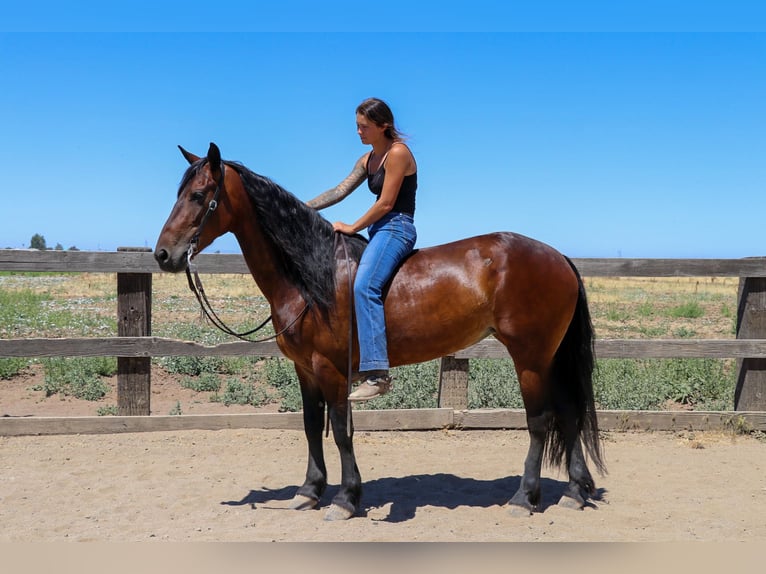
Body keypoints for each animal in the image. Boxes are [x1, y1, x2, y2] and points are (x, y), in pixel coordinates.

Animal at [154, 142, 605, 521]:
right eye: (179, 193)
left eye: (199, 195)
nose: (162, 255)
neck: (312, 277)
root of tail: (559, 257)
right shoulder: (305, 369)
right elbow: (311, 426)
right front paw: (309, 491)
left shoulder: (332, 369)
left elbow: (340, 430)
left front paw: (345, 498)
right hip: (549, 357)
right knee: (569, 413)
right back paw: (574, 493)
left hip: (530, 357)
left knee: (540, 420)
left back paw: (524, 498)